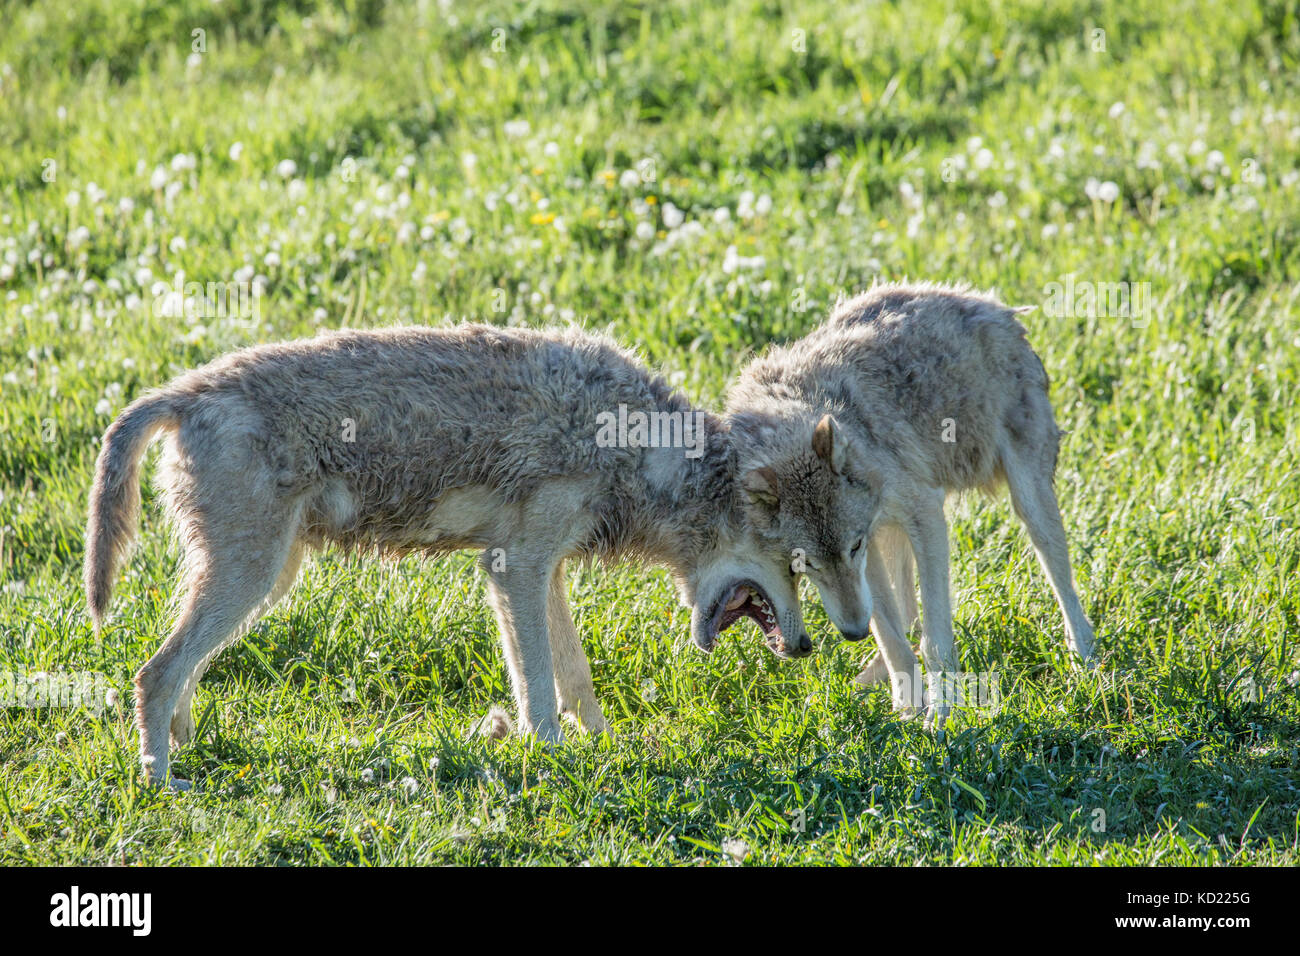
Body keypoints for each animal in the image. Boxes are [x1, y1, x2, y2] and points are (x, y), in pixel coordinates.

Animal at [86, 325, 806, 790]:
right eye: (800, 565)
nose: (803, 648)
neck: (634, 447)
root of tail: (185, 391)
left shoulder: (536, 569)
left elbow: (574, 679)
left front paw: (602, 749)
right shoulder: (516, 569)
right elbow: (538, 690)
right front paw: (552, 761)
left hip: (267, 578)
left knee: (182, 669)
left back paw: (187, 749)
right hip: (252, 578)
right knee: (154, 672)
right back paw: (160, 786)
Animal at [733, 282, 1097, 723]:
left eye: (852, 547)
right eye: (801, 564)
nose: (852, 633)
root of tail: (992, 305)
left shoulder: (919, 515)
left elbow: (935, 638)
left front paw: (942, 713)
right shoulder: (873, 540)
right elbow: (891, 636)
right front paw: (906, 706)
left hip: (1028, 504)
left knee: (1064, 584)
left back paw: (1084, 661)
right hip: (892, 534)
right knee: (905, 614)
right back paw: (857, 687)